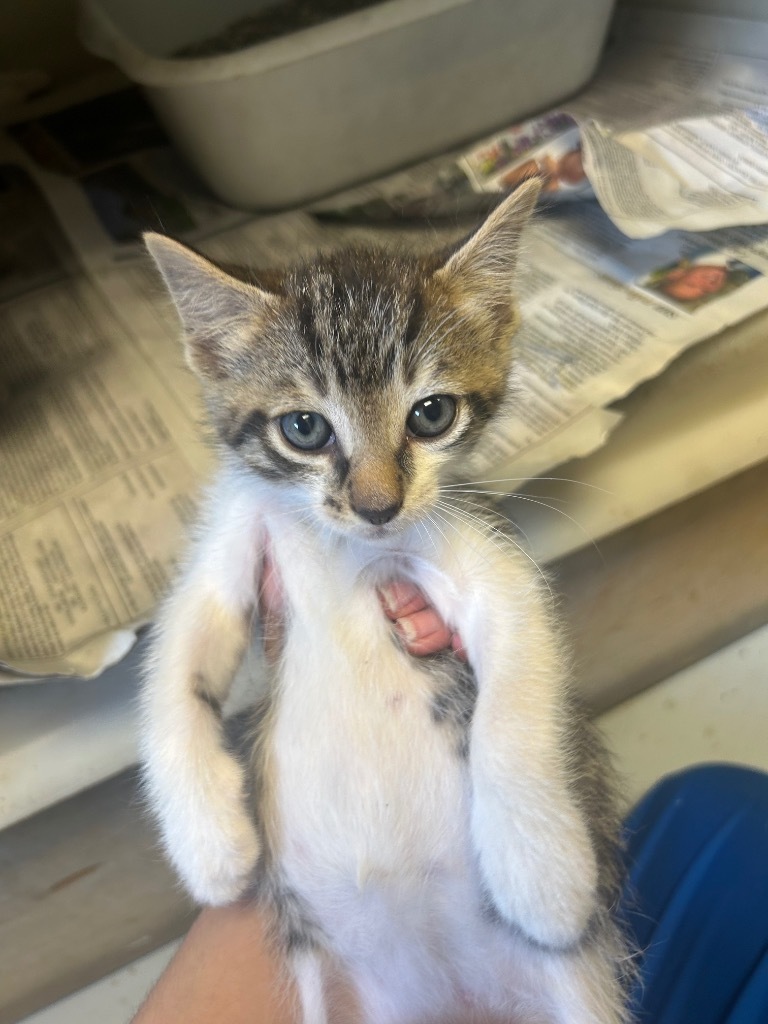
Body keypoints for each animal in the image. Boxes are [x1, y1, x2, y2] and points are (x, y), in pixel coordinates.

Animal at [143, 184, 630, 1024]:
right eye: (304, 428)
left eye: (431, 415)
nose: (378, 506)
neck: (347, 546)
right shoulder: (234, 530)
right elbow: (175, 661)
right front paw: (210, 847)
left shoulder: (476, 546)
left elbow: (516, 697)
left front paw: (543, 875)